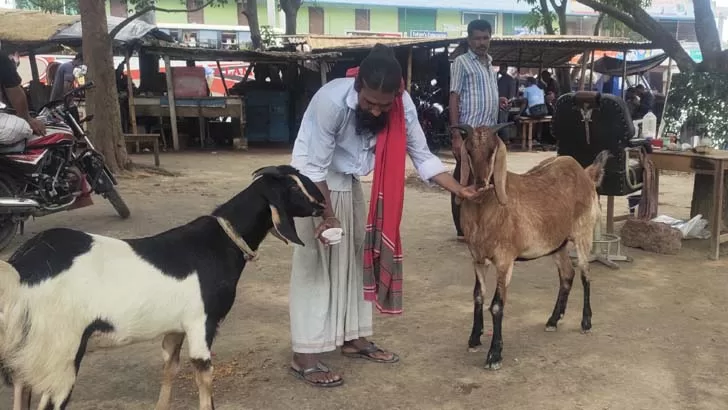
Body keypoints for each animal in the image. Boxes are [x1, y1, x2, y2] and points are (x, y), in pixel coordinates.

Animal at [0, 164, 324, 410]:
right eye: (294, 188)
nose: (321, 204)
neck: (219, 242)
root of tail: (20, 270)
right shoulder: (201, 323)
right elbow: (204, 375)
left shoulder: (175, 328)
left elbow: (170, 368)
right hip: (59, 353)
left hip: (29, 352)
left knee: (20, 391)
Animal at [452, 123, 604, 370]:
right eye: (470, 150)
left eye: (492, 151)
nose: (481, 183)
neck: (486, 209)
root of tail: (585, 173)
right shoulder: (477, 258)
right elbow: (477, 296)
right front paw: (474, 338)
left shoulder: (504, 260)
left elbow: (497, 305)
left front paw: (494, 355)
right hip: (557, 243)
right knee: (567, 274)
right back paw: (553, 320)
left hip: (583, 232)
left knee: (585, 274)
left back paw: (586, 322)